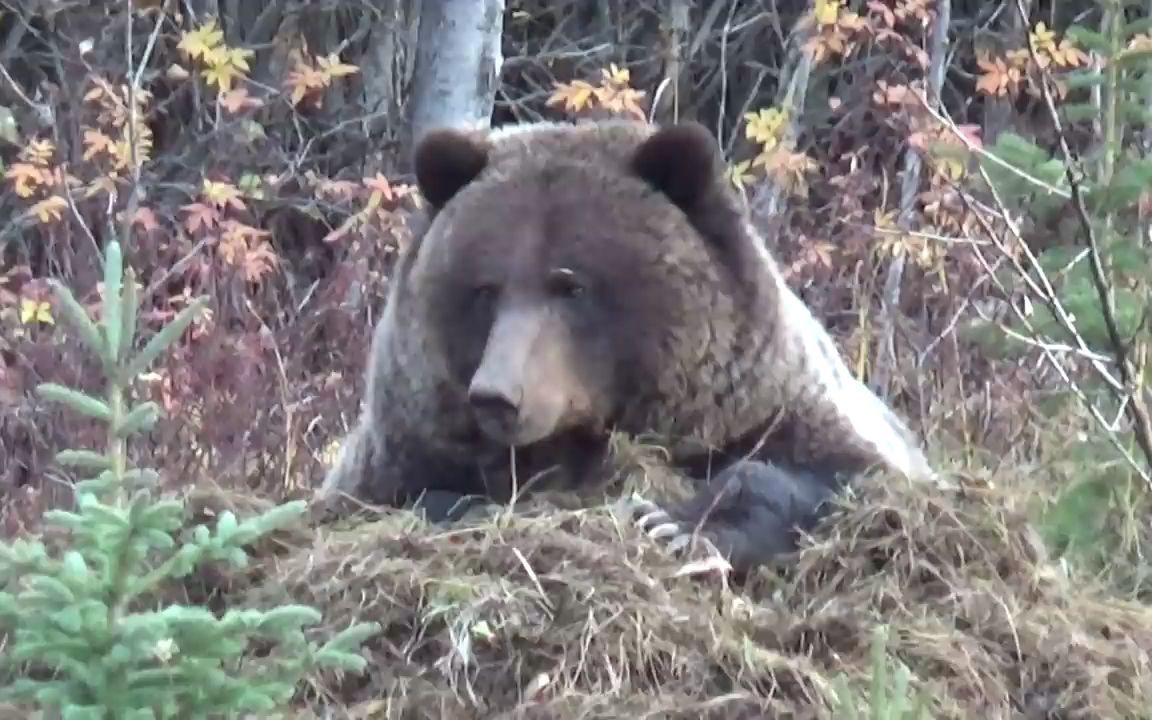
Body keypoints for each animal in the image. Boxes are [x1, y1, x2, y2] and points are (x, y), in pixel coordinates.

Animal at [317, 120, 935, 576]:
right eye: (485, 288)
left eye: (571, 285)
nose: (497, 396)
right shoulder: (405, 447)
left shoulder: (767, 407)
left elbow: (838, 477)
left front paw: (671, 524)